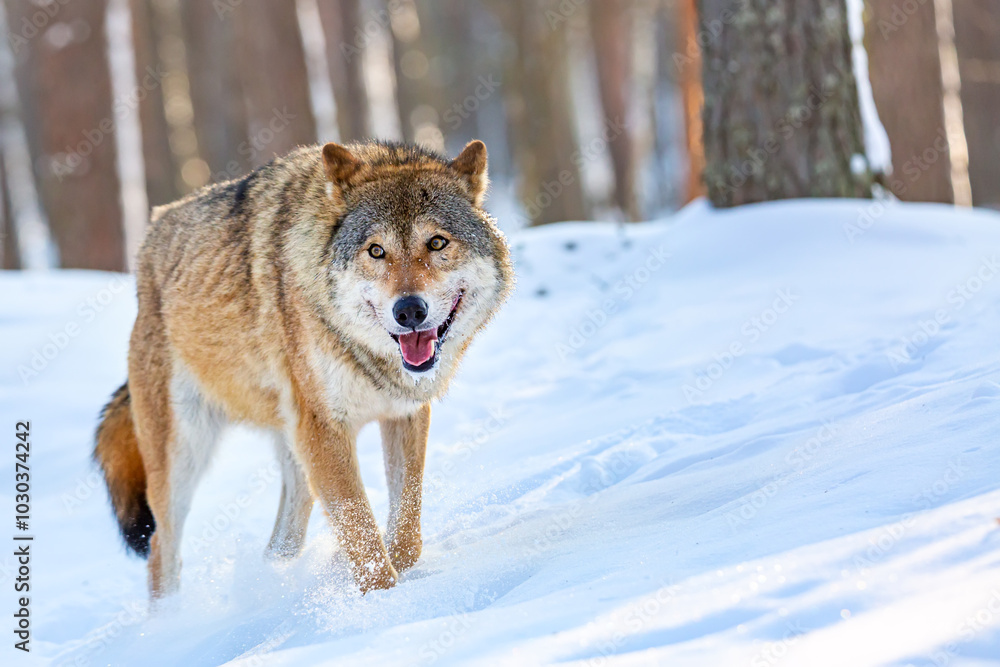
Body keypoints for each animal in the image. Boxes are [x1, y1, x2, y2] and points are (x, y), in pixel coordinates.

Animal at [94, 140, 513, 599]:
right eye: (376, 250)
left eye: (437, 242)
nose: (408, 311)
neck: (365, 353)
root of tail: (153, 229)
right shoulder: (324, 430)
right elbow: (364, 539)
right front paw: (383, 603)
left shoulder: (403, 414)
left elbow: (406, 532)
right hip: (185, 455)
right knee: (159, 552)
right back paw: (172, 616)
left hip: (293, 451)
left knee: (280, 543)